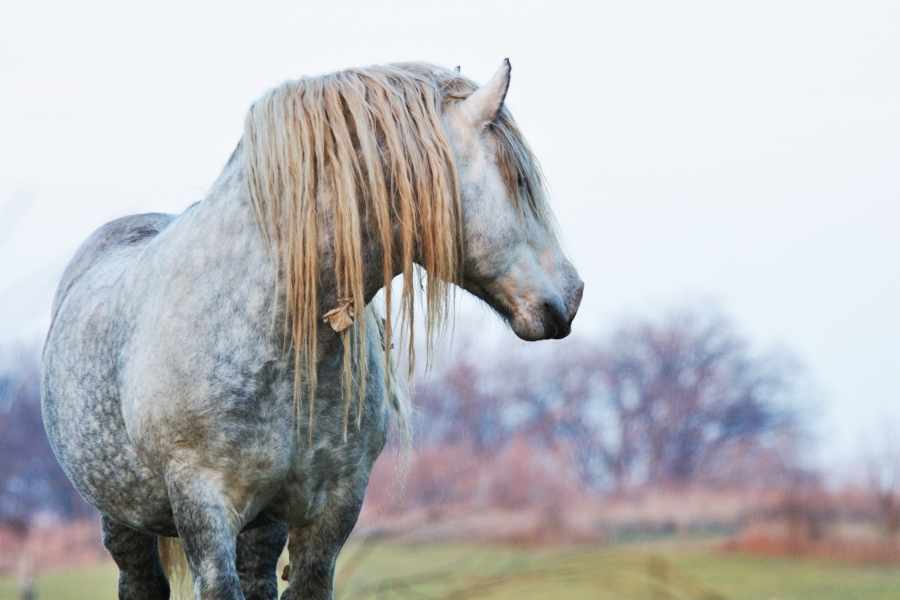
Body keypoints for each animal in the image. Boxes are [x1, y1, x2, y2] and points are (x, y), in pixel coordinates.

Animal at [41, 60, 583, 599]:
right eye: (519, 179)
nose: (573, 294)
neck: (273, 328)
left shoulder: (334, 507)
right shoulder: (203, 505)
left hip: (261, 523)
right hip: (124, 517)